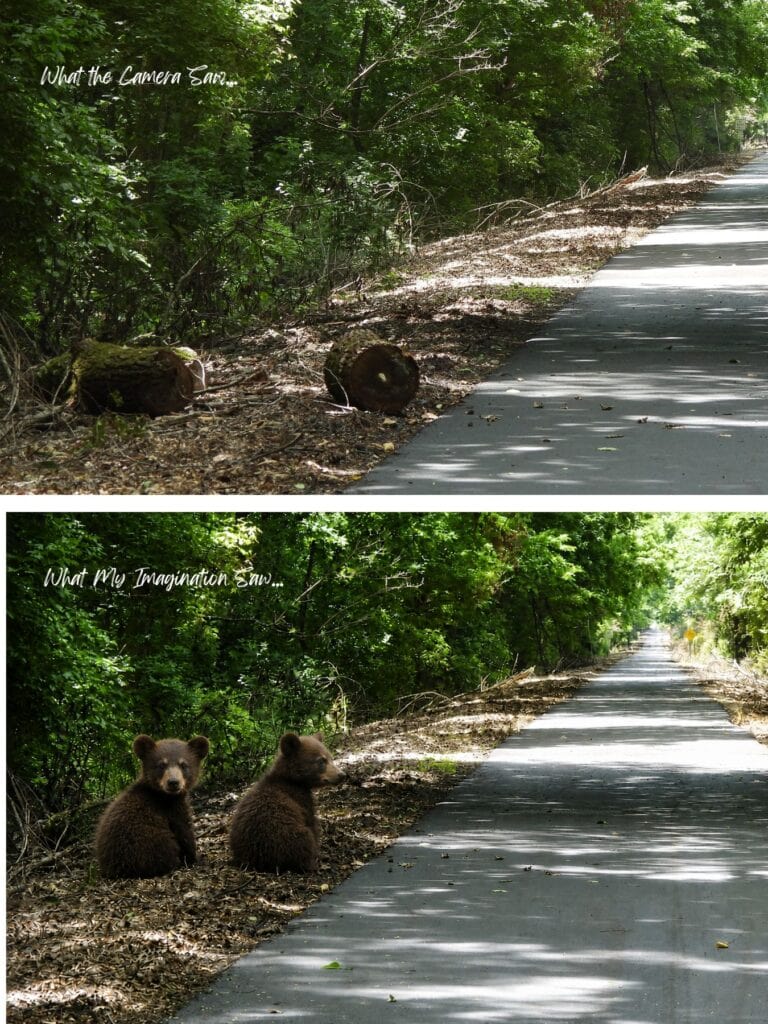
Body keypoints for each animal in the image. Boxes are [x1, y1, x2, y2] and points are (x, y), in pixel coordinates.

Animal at [95, 734, 209, 879]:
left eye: (183, 764)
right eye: (161, 764)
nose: (173, 782)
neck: (164, 796)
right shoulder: (172, 811)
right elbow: (184, 833)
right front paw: (194, 857)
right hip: (153, 845)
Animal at [229, 732, 343, 873]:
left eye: (331, 757)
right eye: (321, 760)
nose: (342, 775)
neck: (293, 780)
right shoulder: (301, 801)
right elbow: (312, 824)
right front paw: (319, 853)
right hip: (287, 836)